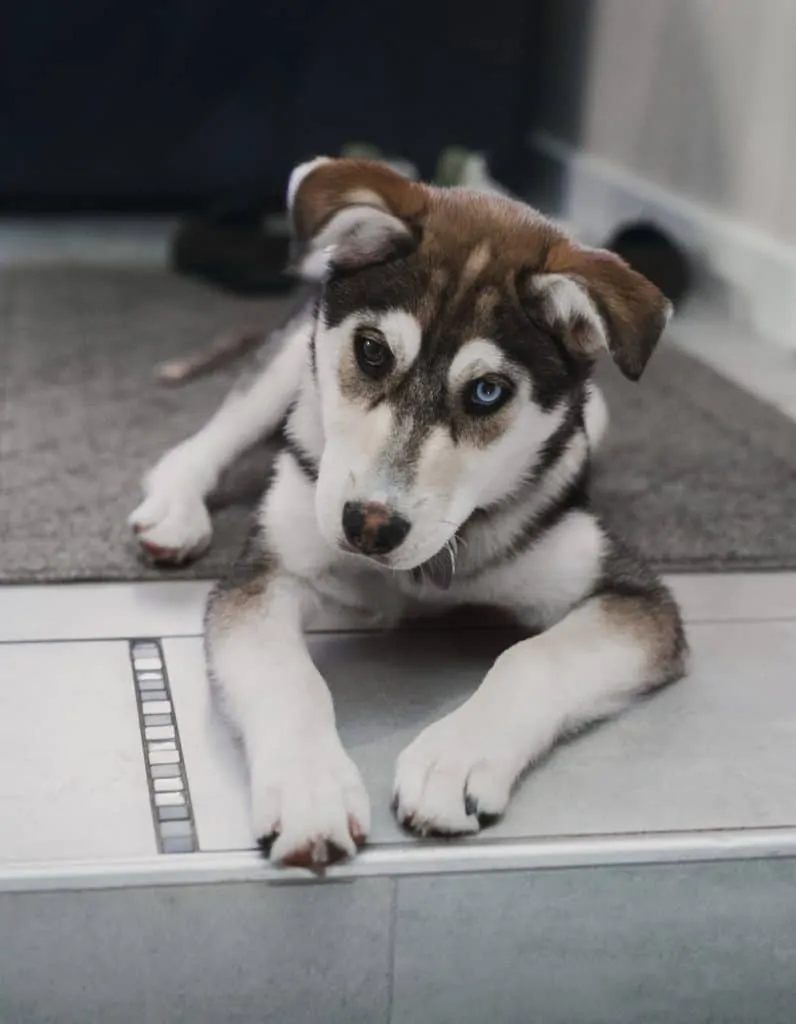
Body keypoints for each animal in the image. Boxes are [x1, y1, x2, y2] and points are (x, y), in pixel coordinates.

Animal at [129, 155, 684, 868]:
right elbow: (286, 675)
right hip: (290, 364)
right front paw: (309, 789)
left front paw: (456, 759)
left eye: (487, 392)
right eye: (371, 351)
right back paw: (175, 508)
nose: (368, 526)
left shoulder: (629, 592)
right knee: (215, 433)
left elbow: (533, 657)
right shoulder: (266, 576)